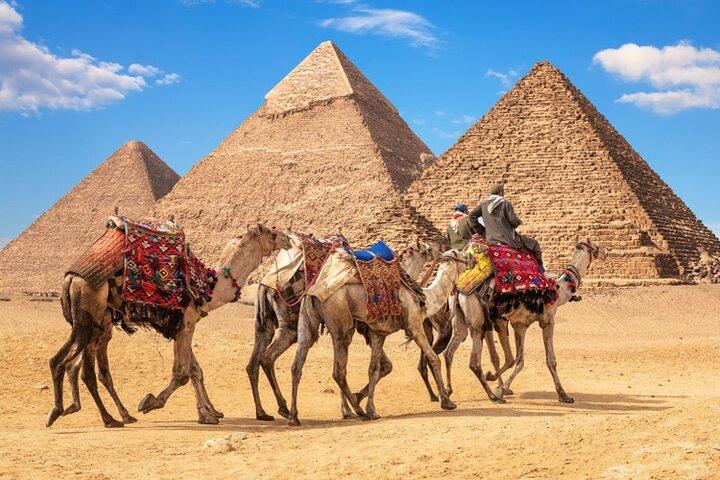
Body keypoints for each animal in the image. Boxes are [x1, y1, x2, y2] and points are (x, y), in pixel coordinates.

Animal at [46, 223, 290, 428]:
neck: (209, 287)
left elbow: (195, 370)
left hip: (94, 321)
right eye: (272, 232)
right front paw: (150, 402)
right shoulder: (187, 322)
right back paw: (98, 417)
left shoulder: (181, 326)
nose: (288, 238)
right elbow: (183, 373)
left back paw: (101, 414)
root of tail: (71, 277)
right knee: (74, 366)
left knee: (75, 365)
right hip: (91, 311)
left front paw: (207, 414)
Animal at [248, 240, 440, 421]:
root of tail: (266, 284)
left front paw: (349, 407)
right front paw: (354, 406)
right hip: (303, 324)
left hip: (275, 323)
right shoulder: (371, 329)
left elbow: (380, 367)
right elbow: (382, 367)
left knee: (265, 361)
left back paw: (276, 412)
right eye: (427, 249)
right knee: (275, 358)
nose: (437, 250)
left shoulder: (366, 331)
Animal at [287, 249, 469, 426]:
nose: (471, 260)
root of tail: (312, 291)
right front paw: (447, 402)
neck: (425, 297)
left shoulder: (378, 333)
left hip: (307, 322)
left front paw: (371, 409)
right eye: (462, 255)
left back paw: (295, 416)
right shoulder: (414, 326)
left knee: (297, 365)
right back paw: (358, 412)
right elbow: (433, 358)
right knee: (338, 371)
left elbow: (374, 369)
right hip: (340, 322)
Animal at [444, 238, 605, 403]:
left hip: (461, 318)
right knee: (474, 362)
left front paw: (496, 381)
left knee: (449, 352)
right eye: (595, 246)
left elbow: (516, 360)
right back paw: (492, 396)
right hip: (477, 320)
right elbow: (546, 360)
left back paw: (448, 391)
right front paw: (563, 395)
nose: (605, 252)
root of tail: (458, 289)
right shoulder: (545, 321)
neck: (558, 290)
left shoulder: (518, 325)